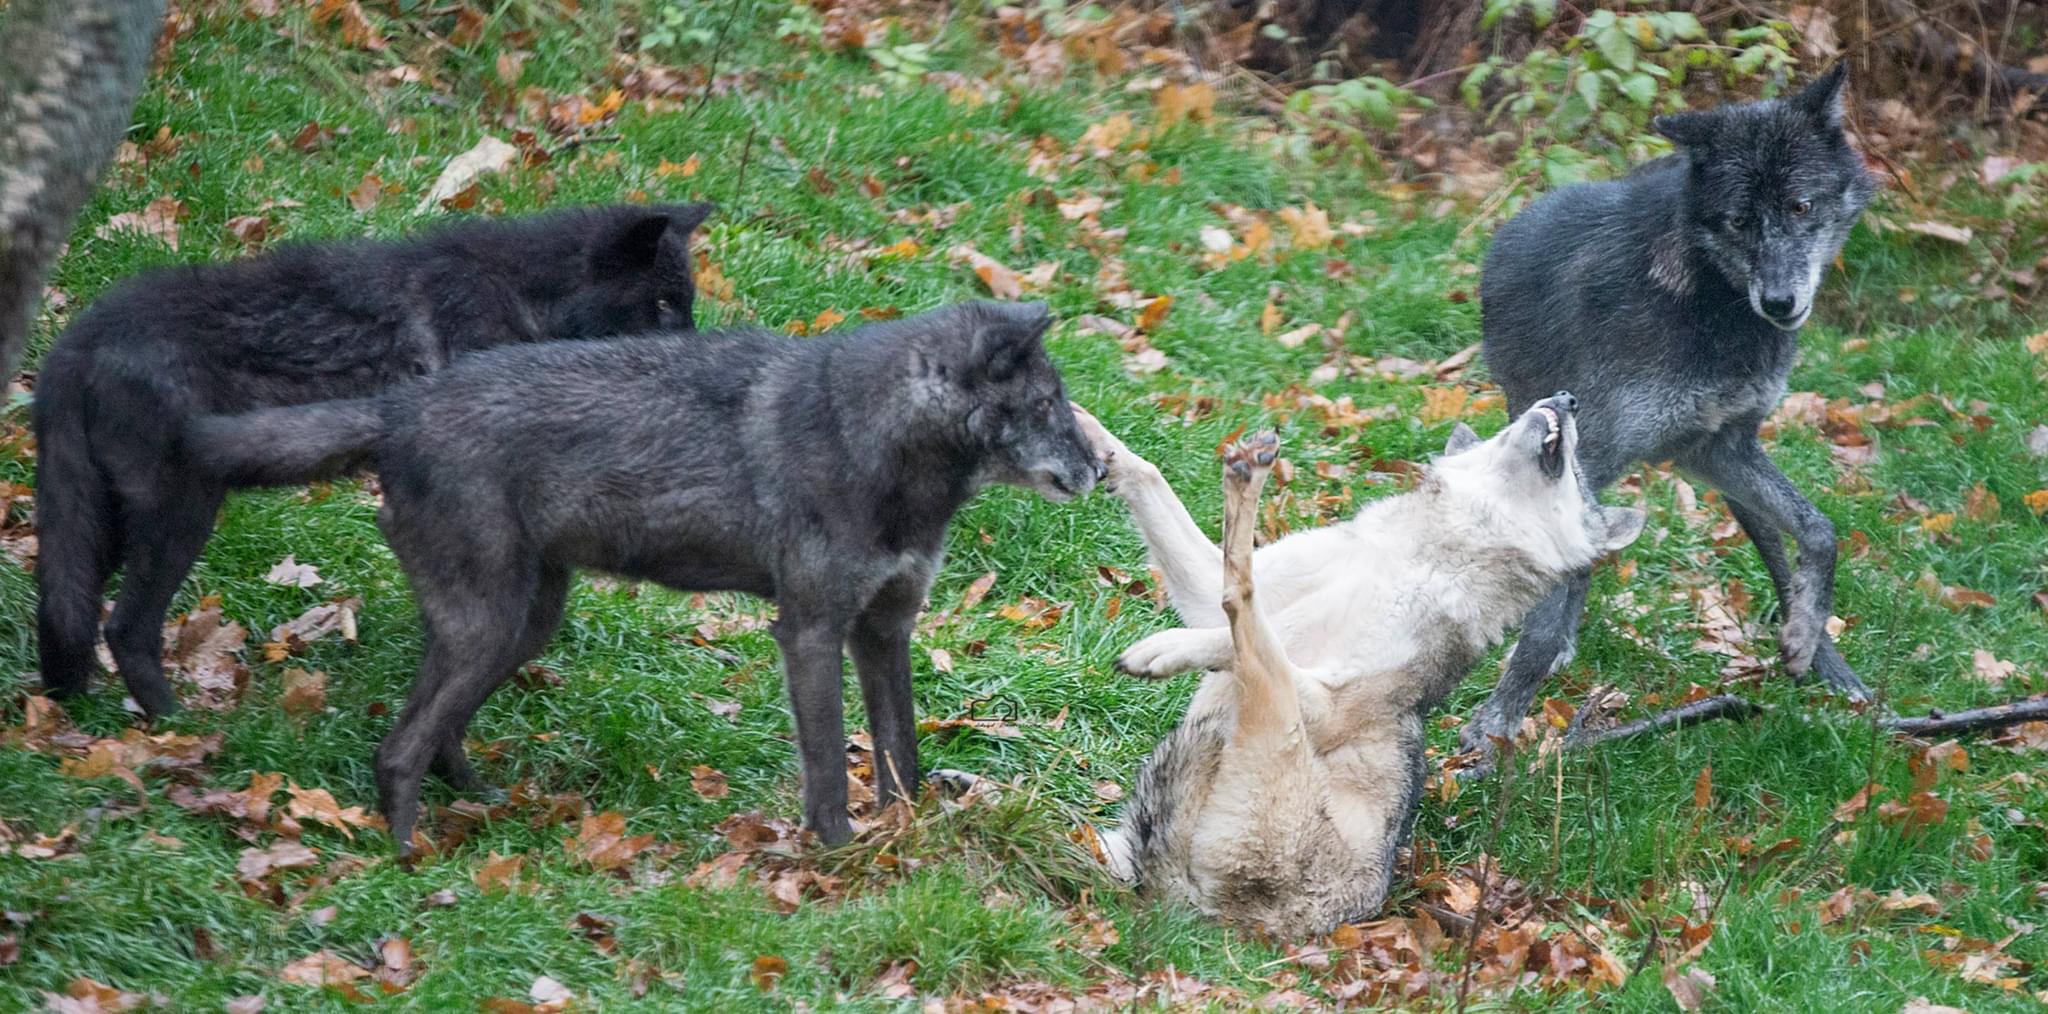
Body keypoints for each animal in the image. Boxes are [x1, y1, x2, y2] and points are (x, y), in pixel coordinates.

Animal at [32, 202, 712, 716]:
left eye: (687, 305)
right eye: (662, 307)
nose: (699, 361)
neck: (525, 300)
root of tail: (80, 337)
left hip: (107, 524)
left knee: (72, 608)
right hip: (181, 517)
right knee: (125, 627)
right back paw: (178, 727)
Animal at [184, 301, 1105, 856]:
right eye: (1049, 406)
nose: (1100, 467)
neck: (876, 440)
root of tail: (398, 407)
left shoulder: (886, 629)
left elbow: (900, 753)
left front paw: (909, 840)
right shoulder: (809, 631)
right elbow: (826, 761)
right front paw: (841, 853)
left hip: (522, 623)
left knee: (436, 731)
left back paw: (479, 802)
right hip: (492, 625)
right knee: (397, 748)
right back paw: (408, 855)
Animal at [1081, 395, 1638, 938]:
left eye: (1578, 474)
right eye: (1514, 423)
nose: (1567, 397)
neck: (1411, 556)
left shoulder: (1328, 706)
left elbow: (1240, 624)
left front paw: (1168, 648)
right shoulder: (1204, 593)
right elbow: (1151, 475)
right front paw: (1091, 432)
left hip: (1275, 723)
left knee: (1247, 608)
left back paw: (1247, 481)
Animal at [1466, 61, 1875, 745]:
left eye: (1800, 206)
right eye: (1737, 220)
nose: (1780, 302)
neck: (1711, 302)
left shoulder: (1718, 448)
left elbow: (1821, 532)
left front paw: (1807, 641)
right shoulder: (1591, 454)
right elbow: (1545, 614)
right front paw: (1495, 725)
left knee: (1782, 556)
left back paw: (1828, 665)